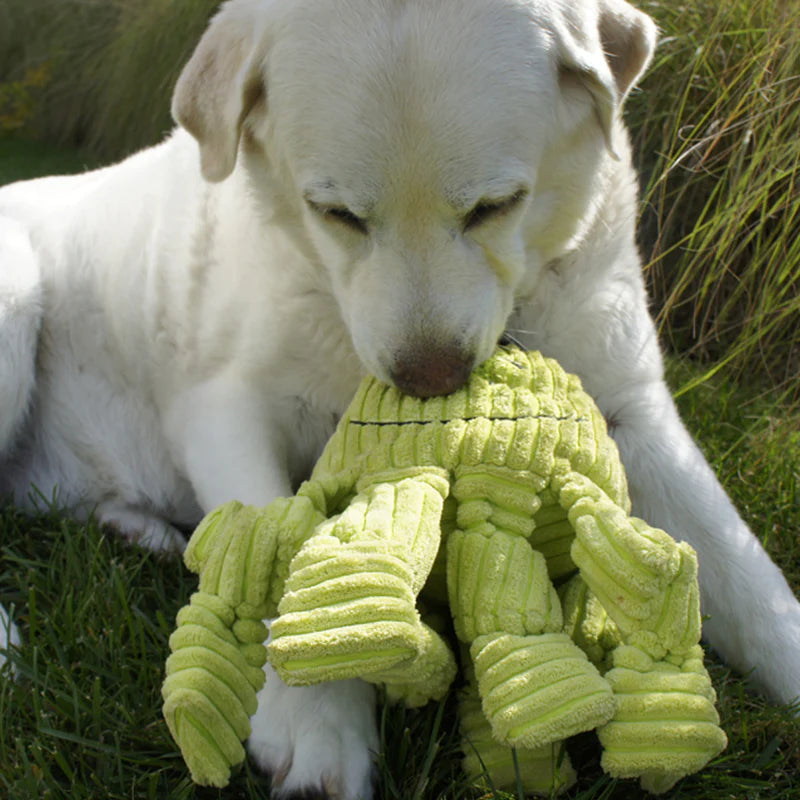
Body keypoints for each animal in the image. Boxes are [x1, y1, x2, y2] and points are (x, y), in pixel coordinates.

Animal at [1, 0, 800, 796]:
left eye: (495, 206)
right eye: (336, 214)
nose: (431, 379)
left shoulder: (632, 406)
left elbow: (744, 572)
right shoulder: (223, 406)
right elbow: (278, 553)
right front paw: (319, 728)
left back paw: (139, 530)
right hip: (17, 296)